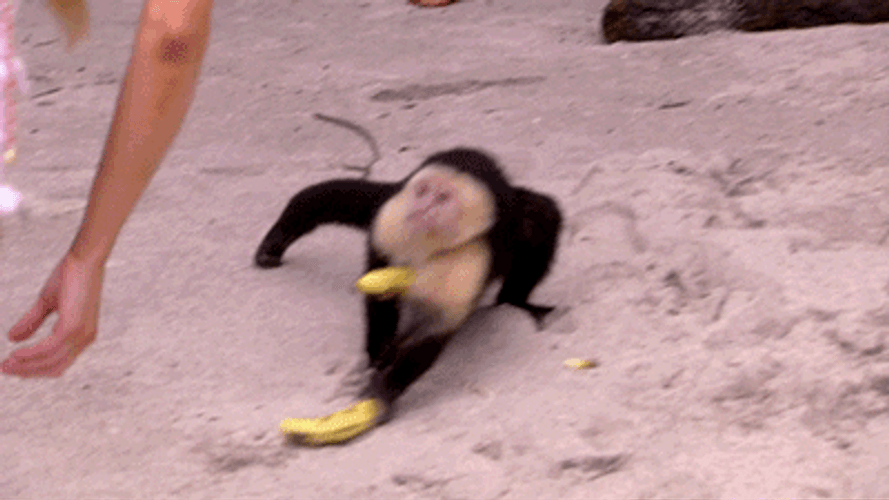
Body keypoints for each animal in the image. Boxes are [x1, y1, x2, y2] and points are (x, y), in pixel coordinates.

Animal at [255, 148, 562, 440]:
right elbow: (380, 298)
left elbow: (433, 329)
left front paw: (384, 391)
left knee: (538, 216)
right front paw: (379, 359)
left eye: (443, 198)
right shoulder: (390, 223)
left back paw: (517, 303)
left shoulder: (471, 257)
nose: (424, 206)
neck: (424, 249)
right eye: (424, 191)